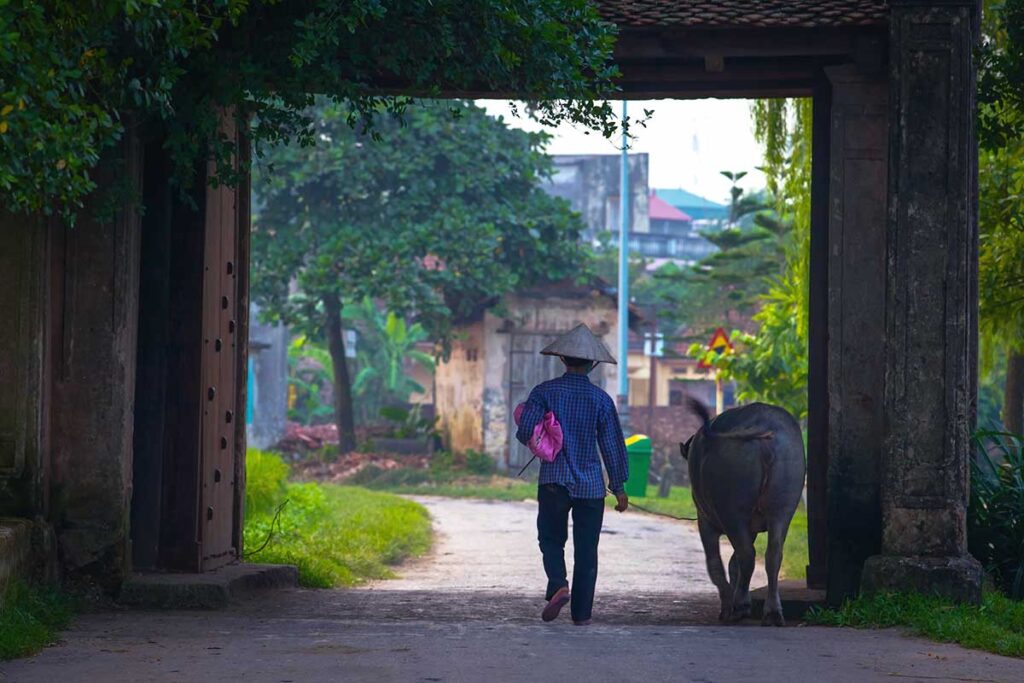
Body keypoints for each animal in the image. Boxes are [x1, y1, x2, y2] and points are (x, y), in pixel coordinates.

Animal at [679, 397, 806, 626]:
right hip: (783, 506)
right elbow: (733, 563)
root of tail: (763, 427)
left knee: (747, 555)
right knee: (773, 555)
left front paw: (727, 605)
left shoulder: (705, 521)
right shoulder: (754, 527)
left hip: (733, 511)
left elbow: (717, 564)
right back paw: (772, 612)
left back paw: (739, 606)